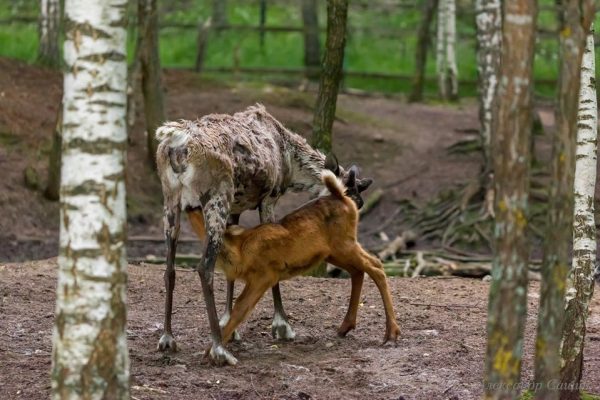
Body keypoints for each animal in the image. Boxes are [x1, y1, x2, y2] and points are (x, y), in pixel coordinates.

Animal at [192, 169, 400, 354]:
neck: (239, 251)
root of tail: (342, 198)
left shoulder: (263, 276)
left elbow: (241, 307)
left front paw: (212, 352)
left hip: (345, 244)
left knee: (375, 265)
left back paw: (391, 333)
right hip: (334, 253)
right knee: (359, 271)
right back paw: (345, 327)